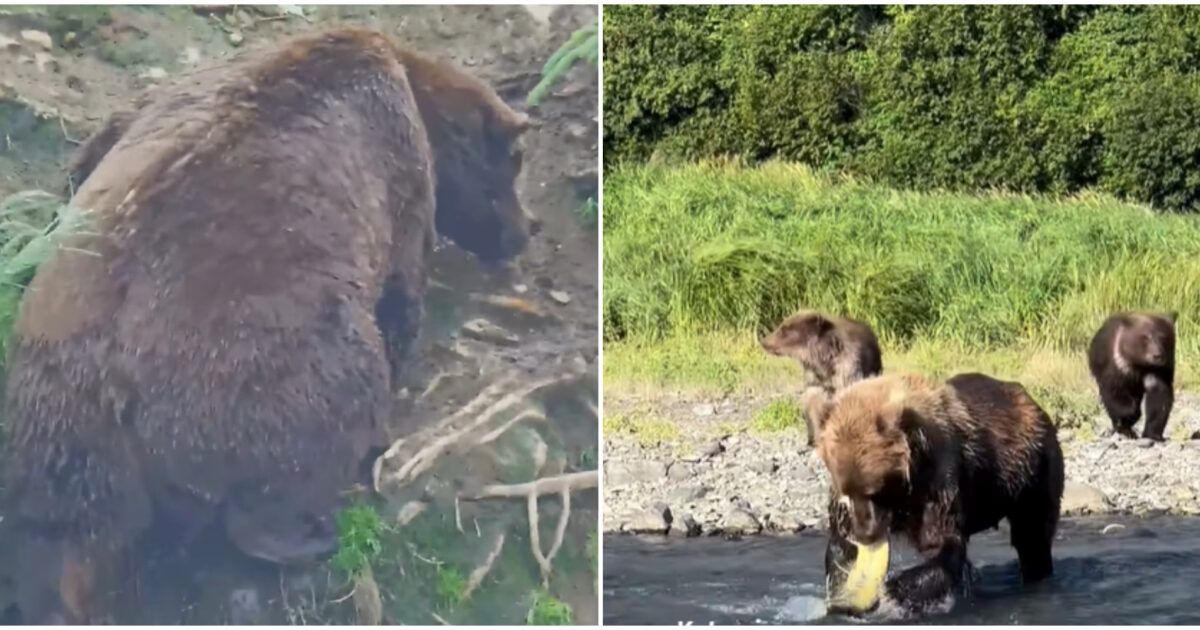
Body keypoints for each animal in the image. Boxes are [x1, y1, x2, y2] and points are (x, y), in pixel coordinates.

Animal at [1, 25, 535, 624]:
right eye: (513, 161)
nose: (527, 229)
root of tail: (112, 388)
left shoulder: (161, 99)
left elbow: (99, 142)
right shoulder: (401, 179)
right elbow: (402, 289)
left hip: (54, 421)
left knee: (51, 526)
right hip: (262, 370)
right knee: (290, 459)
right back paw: (311, 530)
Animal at [763, 312, 888, 444]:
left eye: (783, 330)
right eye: (781, 327)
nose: (764, 341)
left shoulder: (848, 370)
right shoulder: (816, 380)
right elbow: (814, 407)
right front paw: (816, 437)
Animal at [820, 374, 1065, 619]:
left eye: (874, 491)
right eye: (848, 493)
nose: (865, 533)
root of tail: (1031, 402)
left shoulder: (938, 479)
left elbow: (941, 544)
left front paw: (894, 589)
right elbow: (841, 545)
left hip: (1033, 473)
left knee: (1032, 535)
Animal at [1084, 309, 1176, 439]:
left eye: (1163, 337)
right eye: (1145, 337)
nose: (1157, 355)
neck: (1139, 364)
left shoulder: (1160, 370)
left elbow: (1159, 397)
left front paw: (1153, 433)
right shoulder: (1117, 365)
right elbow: (1114, 393)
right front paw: (1130, 414)